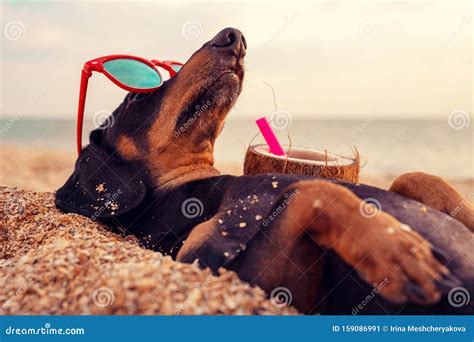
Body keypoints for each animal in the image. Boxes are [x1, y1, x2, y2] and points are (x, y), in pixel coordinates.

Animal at [56, 27, 474, 316]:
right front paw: (400, 249)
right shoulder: (250, 275)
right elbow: (309, 191)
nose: (233, 37)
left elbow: (415, 177)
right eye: (135, 95)